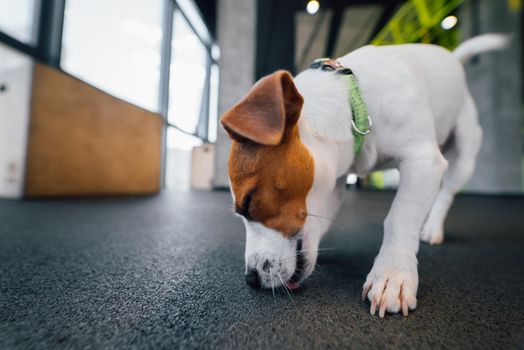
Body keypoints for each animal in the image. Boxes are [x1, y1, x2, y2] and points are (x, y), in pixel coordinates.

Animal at [220, 34, 508, 318]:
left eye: (249, 202)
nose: (251, 279)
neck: (354, 104)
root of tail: (454, 60)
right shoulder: (336, 180)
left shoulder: (423, 162)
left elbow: (400, 218)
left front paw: (393, 273)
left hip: (464, 156)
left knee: (447, 191)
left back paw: (432, 227)